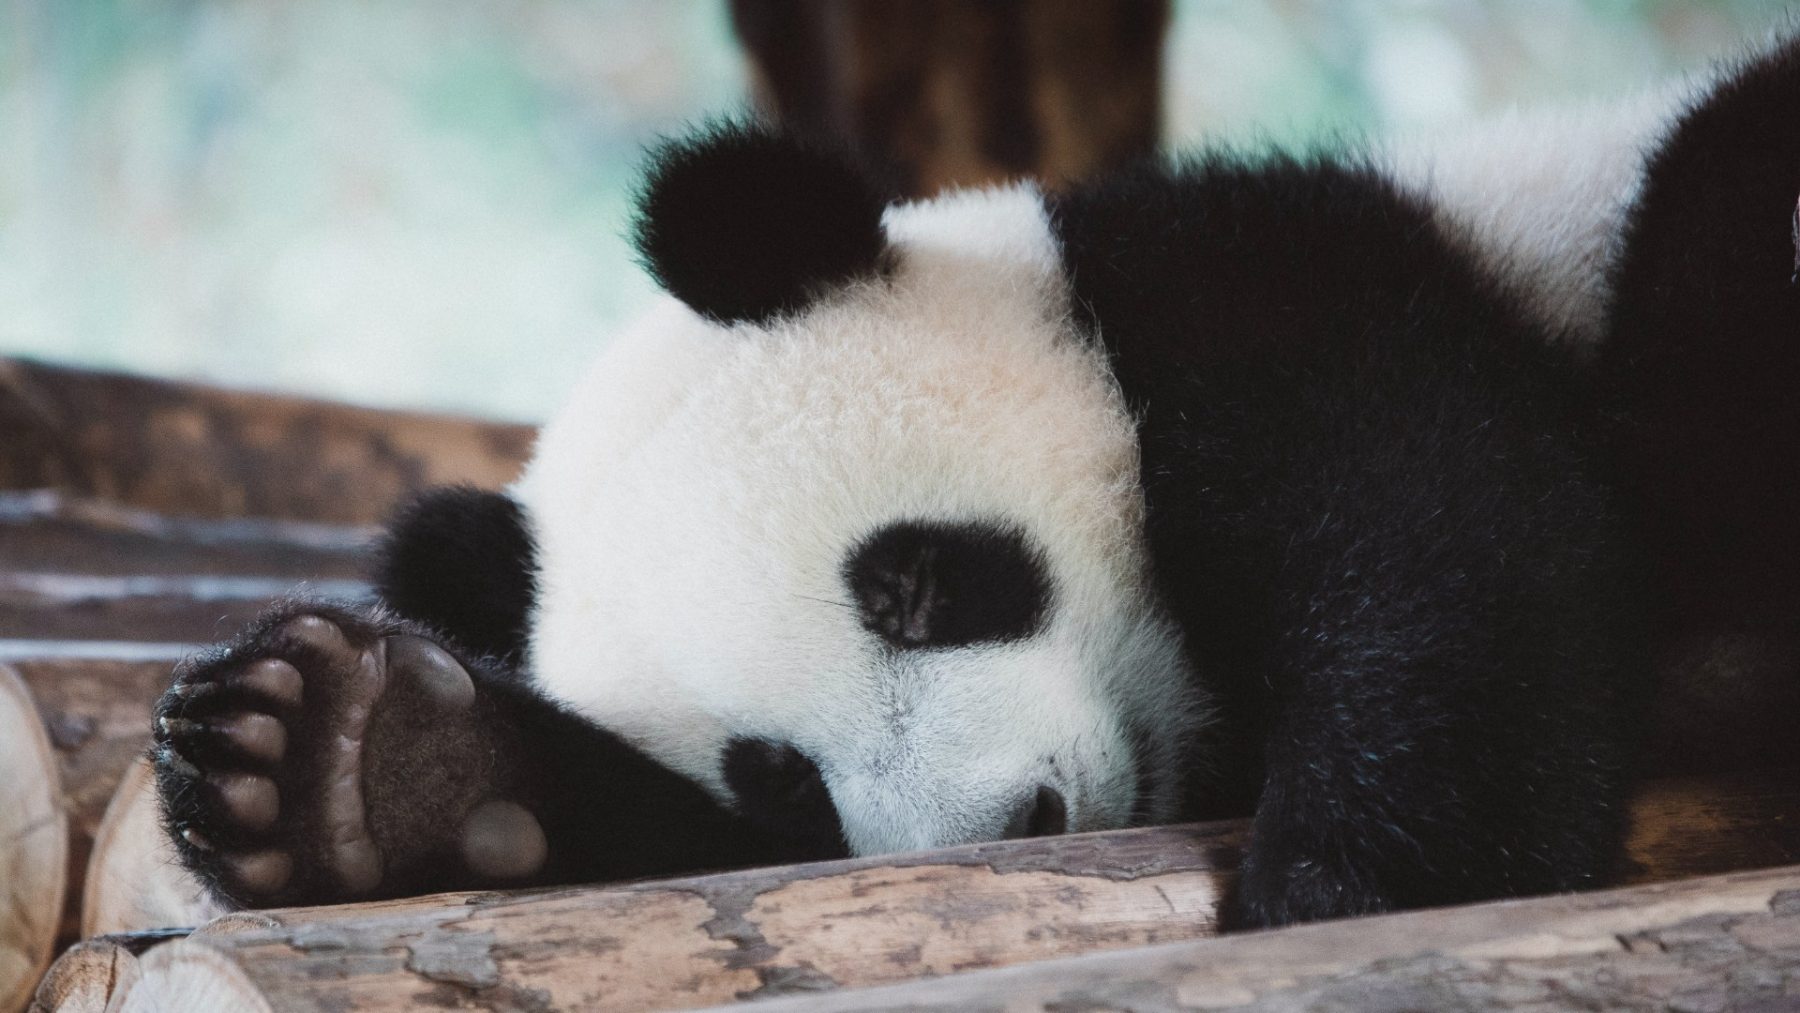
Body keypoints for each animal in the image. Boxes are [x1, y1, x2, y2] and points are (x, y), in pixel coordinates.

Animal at [152, 31, 1800, 929]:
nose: (1011, 822)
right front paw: (357, 759)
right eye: (776, 772)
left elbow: (1448, 558)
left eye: (917, 581)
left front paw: (1352, 884)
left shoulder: (1275, 297)